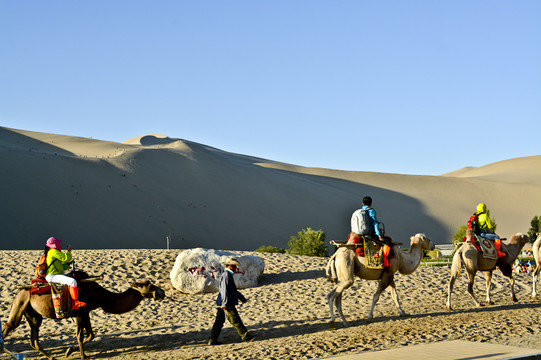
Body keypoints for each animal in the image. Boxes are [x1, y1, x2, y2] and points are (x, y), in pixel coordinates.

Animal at [2, 272, 165, 358]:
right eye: (148, 285)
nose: (162, 292)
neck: (99, 295)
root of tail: (19, 292)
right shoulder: (80, 312)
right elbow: (80, 335)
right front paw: (82, 356)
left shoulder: (86, 312)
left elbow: (91, 335)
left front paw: (70, 351)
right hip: (20, 303)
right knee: (9, 326)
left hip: (32, 313)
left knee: (33, 337)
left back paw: (51, 357)